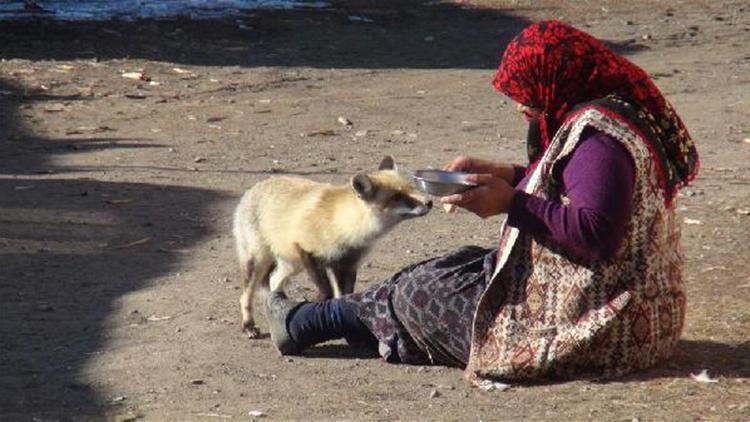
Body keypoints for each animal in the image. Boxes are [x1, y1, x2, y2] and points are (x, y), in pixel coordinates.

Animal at [235, 157, 434, 338]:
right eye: (396, 197)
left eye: (412, 187)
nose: (430, 202)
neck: (341, 225)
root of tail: (252, 189)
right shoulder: (309, 254)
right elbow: (327, 291)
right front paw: (317, 306)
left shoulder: (346, 264)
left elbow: (343, 295)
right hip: (259, 262)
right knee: (245, 296)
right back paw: (248, 325)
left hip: (292, 265)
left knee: (274, 281)